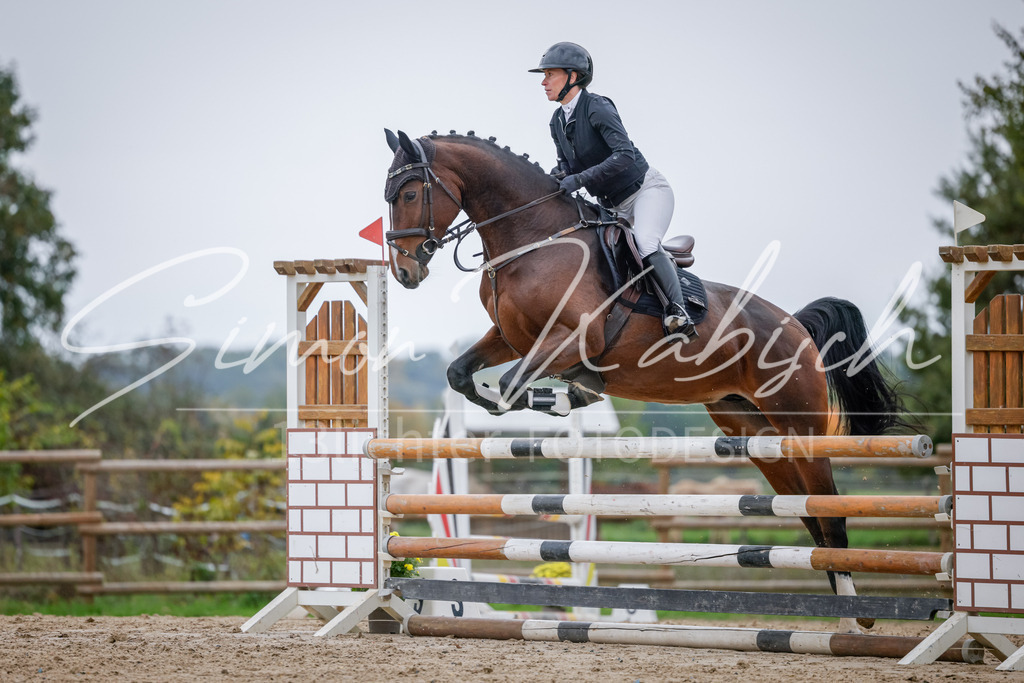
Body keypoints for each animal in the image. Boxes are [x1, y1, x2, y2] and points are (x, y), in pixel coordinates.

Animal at [383, 129, 907, 631]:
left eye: (409, 192)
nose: (405, 270)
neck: (535, 238)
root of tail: (796, 323)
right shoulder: (510, 337)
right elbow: (460, 373)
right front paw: (526, 396)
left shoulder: (574, 336)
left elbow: (515, 382)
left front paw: (564, 396)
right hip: (754, 430)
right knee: (809, 514)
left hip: (800, 427)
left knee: (831, 515)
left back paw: (855, 617)